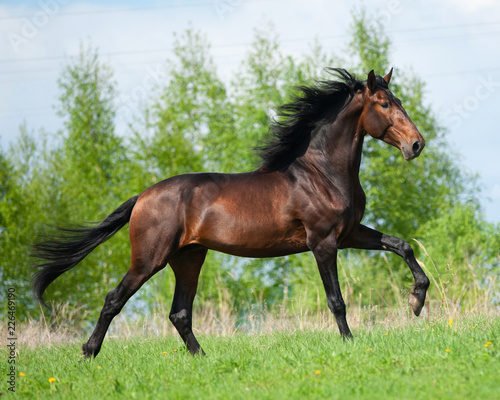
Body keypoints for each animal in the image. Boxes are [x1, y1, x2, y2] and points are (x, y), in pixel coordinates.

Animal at [33, 69, 430, 360]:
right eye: (383, 103)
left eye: (398, 101)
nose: (416, 144)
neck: (322, 173)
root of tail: (142, 197)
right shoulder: (323, 241)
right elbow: (337, 300)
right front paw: (349, 343)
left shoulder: (349, 234)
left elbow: (402, 245)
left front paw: (416, 300)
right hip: (150, 258)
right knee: (114, 299)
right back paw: (88, 352)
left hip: (189, 257)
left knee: (179, 312)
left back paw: (202, 358)